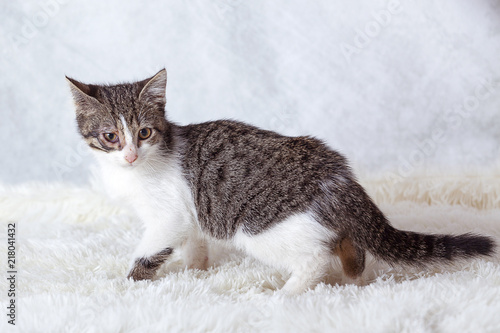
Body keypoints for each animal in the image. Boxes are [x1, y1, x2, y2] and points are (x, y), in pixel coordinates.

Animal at [67, 68, 496, 294]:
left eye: (144, 133)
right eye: (110, 136)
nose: (130, 154)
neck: (140, 169)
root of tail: (337, 175)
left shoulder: (167, 215)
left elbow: (149, 251)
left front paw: (125, 284)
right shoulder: (188, 215)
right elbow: (194, 243)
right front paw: (196, 272)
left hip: (260, 226)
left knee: (315, 258)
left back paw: (284, 293)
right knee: (350, 247)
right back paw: (353, 275)